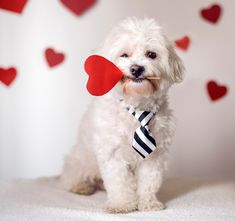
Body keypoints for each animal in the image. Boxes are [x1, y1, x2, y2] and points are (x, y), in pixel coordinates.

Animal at [60, 17, 184, 214]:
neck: (137, 109)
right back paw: (82, 187)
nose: (136, 68)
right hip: (79, 161)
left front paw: (148, 203)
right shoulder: (113, 153)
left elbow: (149, 181)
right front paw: (121, 204)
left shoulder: (154, 155)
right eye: (124, 55)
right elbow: (119, 183)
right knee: (70, 178)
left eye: (151, 54)